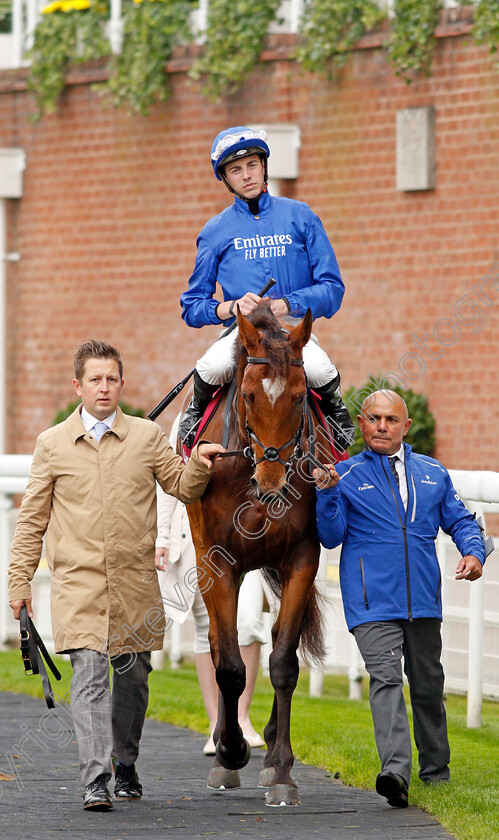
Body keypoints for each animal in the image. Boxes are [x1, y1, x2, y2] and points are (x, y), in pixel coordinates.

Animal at [186, 304, 338, 808]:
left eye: (299, 396)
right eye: (250, 396)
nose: (272, 483)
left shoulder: (302, 558)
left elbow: (284, 660)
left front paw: (281, 768)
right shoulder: (218, 563)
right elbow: (230, 665)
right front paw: (231, 752)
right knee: (218, 644)